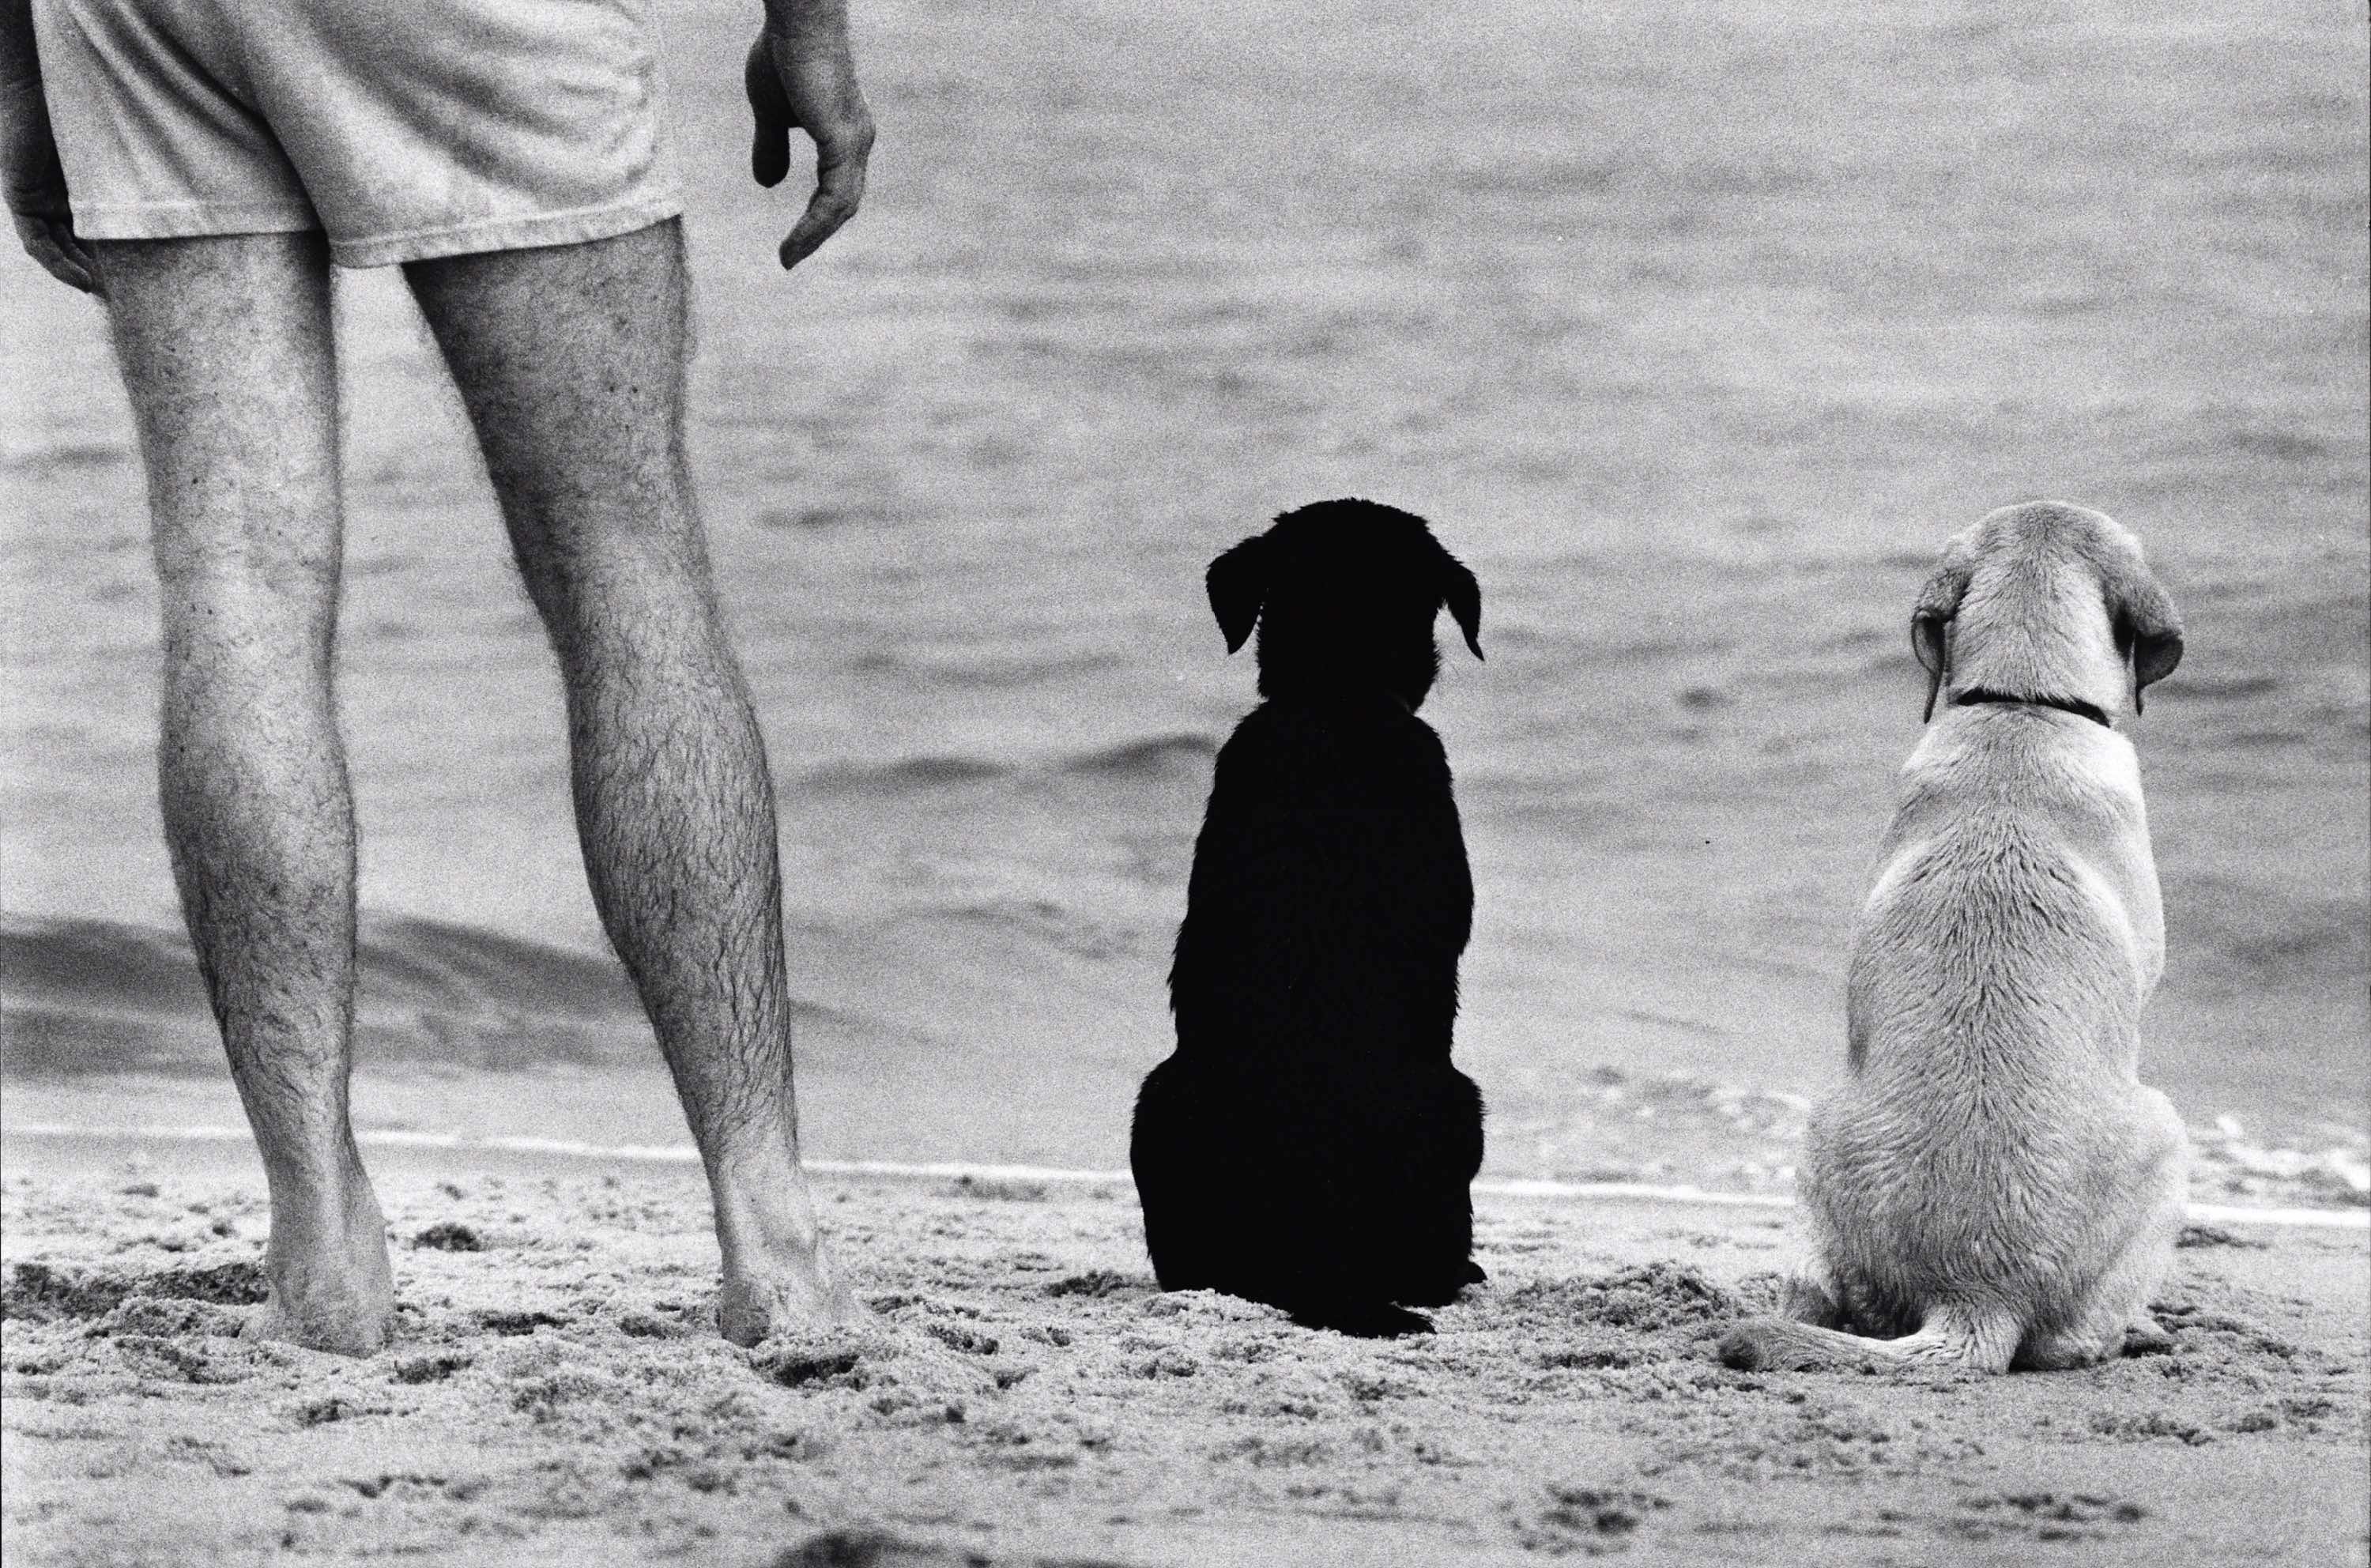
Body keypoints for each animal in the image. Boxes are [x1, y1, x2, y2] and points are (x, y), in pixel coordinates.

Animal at [1721, 501, 2189, 1374]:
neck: (2022, 702)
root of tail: (1974, 1296)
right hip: (2170, 1136)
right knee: (2070, 1342)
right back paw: (2133, 1331)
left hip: (1816, 1142)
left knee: (1813, 1294)